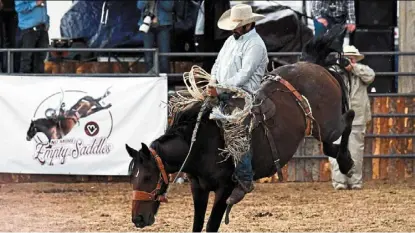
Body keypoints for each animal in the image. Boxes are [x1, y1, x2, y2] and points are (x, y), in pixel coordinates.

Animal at [126, 24, 354, 230]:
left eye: (147, 177)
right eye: (132, 178)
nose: (137, 219)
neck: (200, 144)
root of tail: (313, 65)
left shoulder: (224, 189)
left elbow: (211, 225)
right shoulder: (198, 188)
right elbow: (197, 225)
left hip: (329, 125)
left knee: (349, 118)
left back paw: (346, 163)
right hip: (318, 128)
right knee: (329, 144)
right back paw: (344, 158)